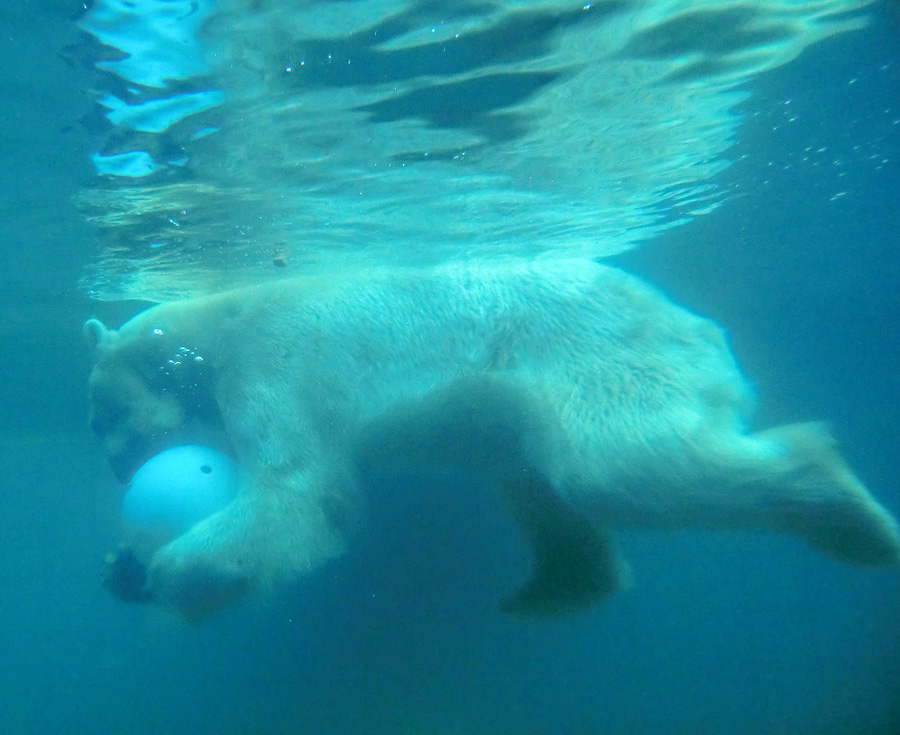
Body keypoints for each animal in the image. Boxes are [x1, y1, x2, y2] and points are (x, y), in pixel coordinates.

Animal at [84, 258, 900, 620]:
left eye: (101, 419)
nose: (119, 470)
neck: (216, 318)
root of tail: (695, 326)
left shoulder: (275, 362)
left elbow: (301, 495)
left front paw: (164, 571)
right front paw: (122, 565)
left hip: (589, 359)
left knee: (621, 468)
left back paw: (846, 511)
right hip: (522, 407)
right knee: (538, 486)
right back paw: (553, 587)